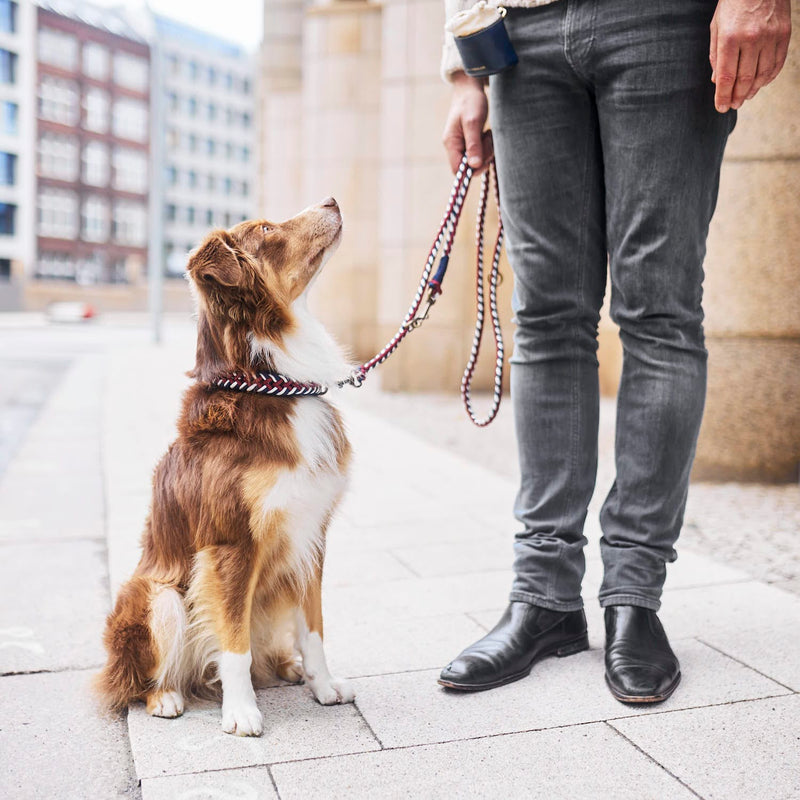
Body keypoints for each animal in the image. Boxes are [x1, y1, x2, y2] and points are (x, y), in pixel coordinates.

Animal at [95, 197, 354, 736]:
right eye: (266, 229)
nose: (332, 200)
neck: (272, 380)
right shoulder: (230, 541)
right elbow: (233, 643)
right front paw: (240, 711)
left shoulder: (311, 535)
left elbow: (314, 629)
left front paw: (322, 685)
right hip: (157, 594)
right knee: (139, 676)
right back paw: (166, 696)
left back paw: (288, 669)